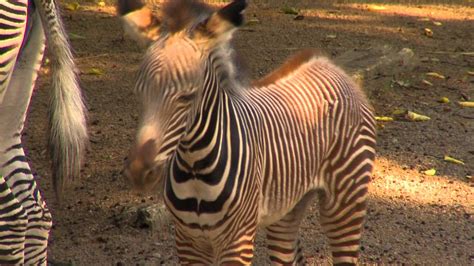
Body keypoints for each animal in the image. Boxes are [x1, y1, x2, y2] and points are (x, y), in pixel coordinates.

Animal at [120, 0, 376, 264]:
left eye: (187, 97)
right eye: (139, 93)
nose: (138, 172)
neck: (195, 167)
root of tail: (328, 63)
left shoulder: (237, 241)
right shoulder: (188, 241)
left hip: (346, 201)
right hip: (286, 208)